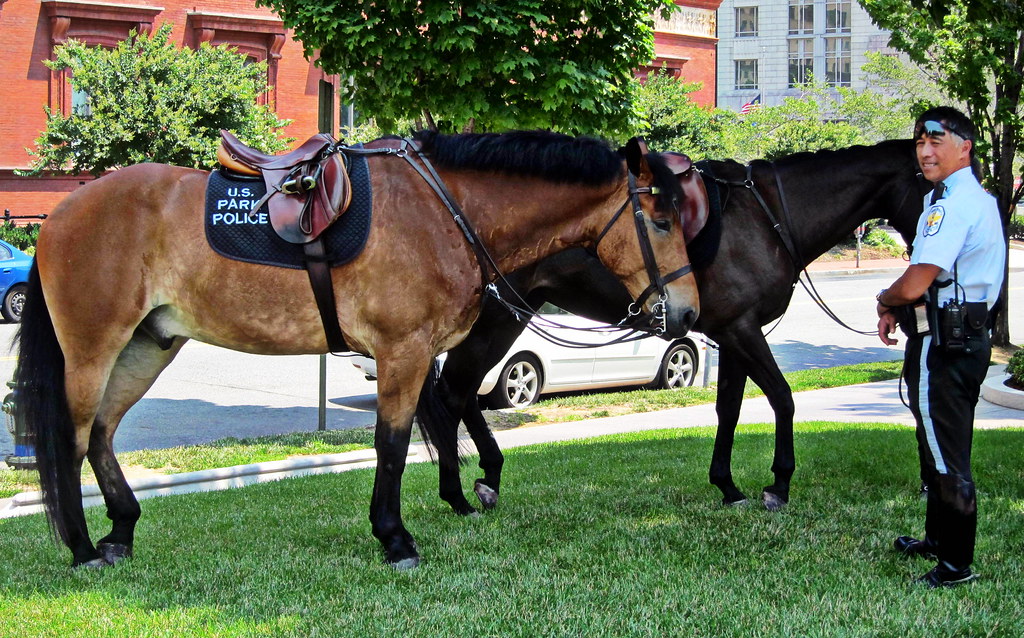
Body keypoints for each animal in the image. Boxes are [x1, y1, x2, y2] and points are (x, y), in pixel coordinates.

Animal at [14, 130, 701, 569]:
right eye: (661, 219)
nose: (688, 313)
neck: (445, 210)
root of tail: (61, 213)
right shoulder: (403, 352)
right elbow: (393, 446)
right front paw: (395, 538)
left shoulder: (421, 356)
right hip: (94, 348)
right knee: (73, 437)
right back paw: (82, 548)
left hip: (148, 346)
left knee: (101, 434)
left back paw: (120, 531)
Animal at [418, 139, 928, 516]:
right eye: (930, 184)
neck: (768, 218)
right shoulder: (742, 331)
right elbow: (782, 398)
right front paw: (778, 484)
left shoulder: (732, 335)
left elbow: (729, 409)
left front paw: (728, 486)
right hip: (497, 318)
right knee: (454, 392)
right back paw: (460, 492)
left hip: (510, 314)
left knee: (462, 392)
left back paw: (487, 476)